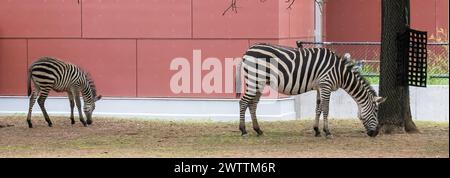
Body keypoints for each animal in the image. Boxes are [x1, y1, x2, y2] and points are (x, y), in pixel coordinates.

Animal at [236, 43, 386, 138]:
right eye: (376, 110)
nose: (375, 133)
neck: (340, 72)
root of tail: (247, 51)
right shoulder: (326, 85)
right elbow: (326, 108)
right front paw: (327, 132)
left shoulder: (320, 87)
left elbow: (318, 108)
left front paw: (317, 130)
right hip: (254, 80)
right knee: (243, 102)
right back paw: (243, 130)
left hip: (259, 82)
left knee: (252, 104)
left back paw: (258, 130)